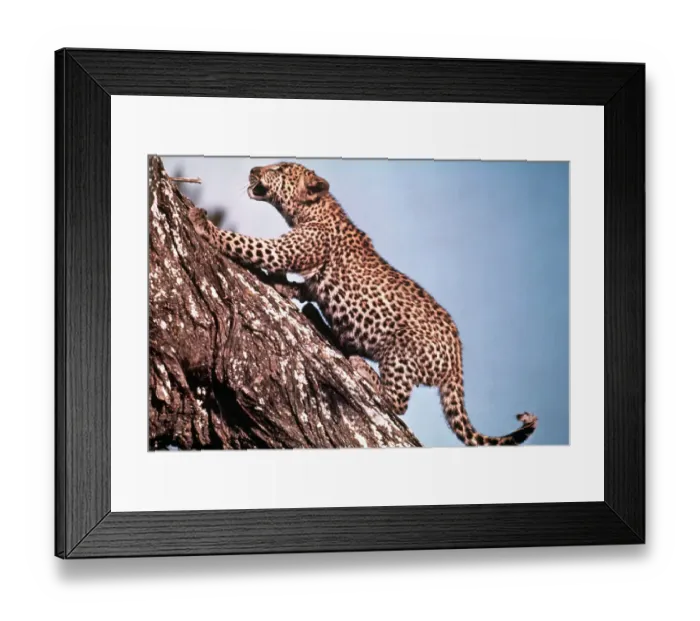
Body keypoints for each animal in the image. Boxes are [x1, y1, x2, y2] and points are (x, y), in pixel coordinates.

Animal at [188, 161, 538, 446]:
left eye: (280, 169)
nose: (254, 169)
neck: (313, 210)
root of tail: (457, 360)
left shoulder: (286, 250)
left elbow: (248, 244)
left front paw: (202, 224)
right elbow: (305, 287)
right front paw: (286, 288)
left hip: (402, 353)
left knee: (397, 403)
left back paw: (363, 369)